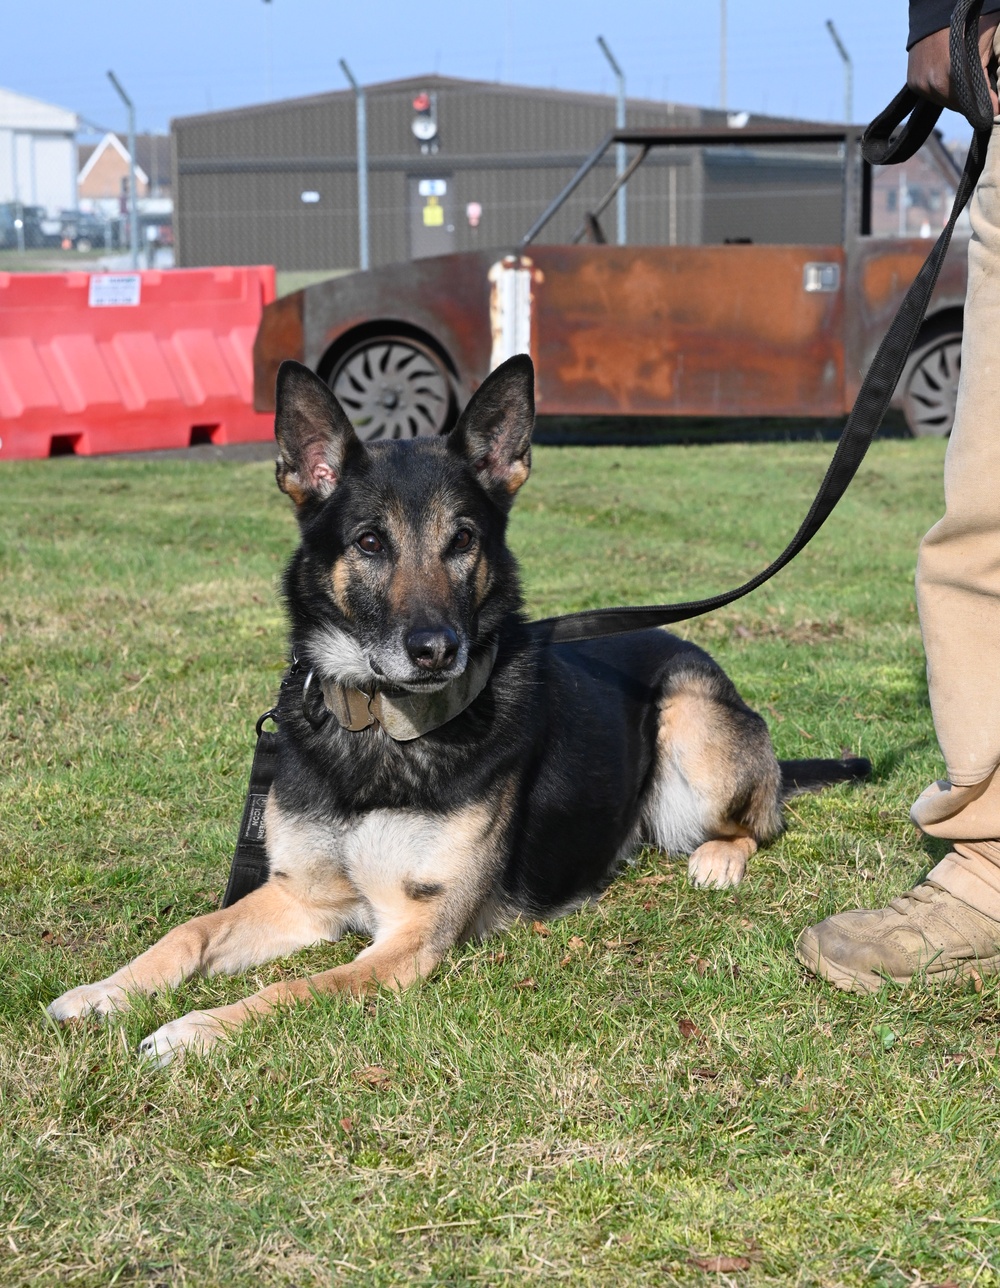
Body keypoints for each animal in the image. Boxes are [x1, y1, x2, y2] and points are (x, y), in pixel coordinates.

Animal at [48, 355, 865, 1066]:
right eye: (369, 542)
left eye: (463, 539)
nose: (436, 649)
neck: (378, 729)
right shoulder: (300, 900)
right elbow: (189, 933)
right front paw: (105, 992)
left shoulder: (410, 935)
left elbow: (295, 988)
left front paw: (197, 1029)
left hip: (690, 718)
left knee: (757, 818)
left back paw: (719, 857)